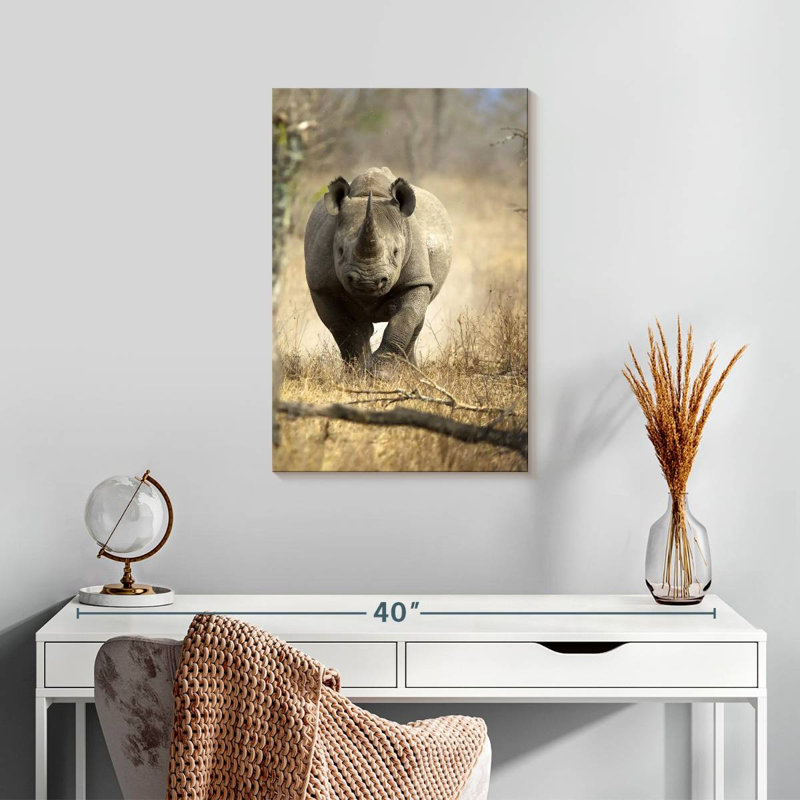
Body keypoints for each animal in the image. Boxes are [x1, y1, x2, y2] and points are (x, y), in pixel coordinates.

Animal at [304, 167, 452, 373]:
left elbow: (405, 318)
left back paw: (411, 371)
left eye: (396, 252)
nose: (367, 282)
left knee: (417, 319)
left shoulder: (416, 280)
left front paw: (381, 372)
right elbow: (343, 328)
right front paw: (358, 373)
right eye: (340, 251)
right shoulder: (322, 287)